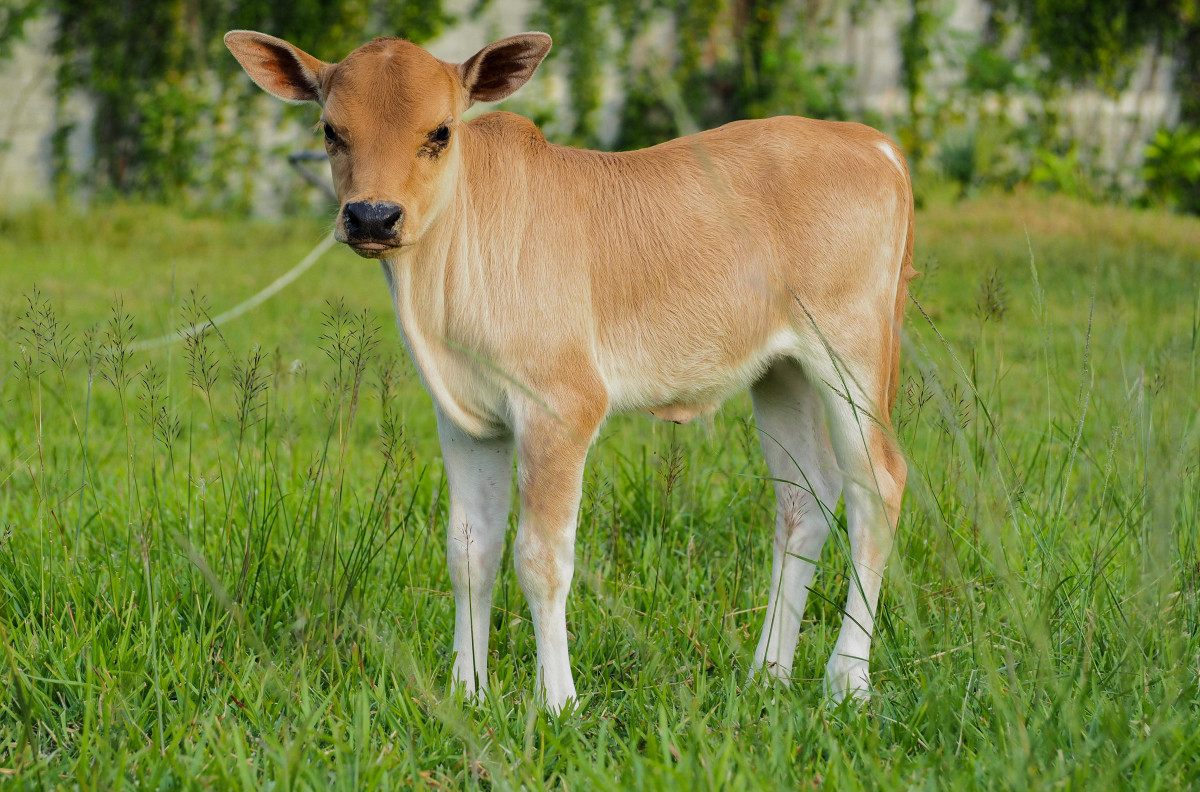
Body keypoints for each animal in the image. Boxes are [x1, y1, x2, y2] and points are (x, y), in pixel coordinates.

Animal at [226, 30, 916, 710]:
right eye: (330, 130)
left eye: (440, 131)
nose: (372, 216)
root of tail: (868, 140)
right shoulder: (466, 418)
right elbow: (469, 550)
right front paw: (466, 694)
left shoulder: (561, 408)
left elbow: (541, 559)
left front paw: (557, 701)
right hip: (782, 371)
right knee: (804, 499)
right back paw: (767, 674)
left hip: (851, 349)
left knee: (876, 485)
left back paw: (847, 682)